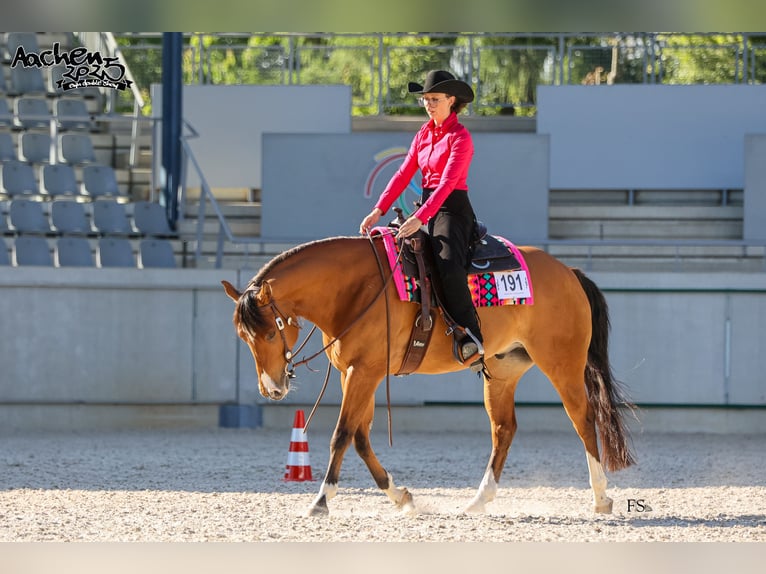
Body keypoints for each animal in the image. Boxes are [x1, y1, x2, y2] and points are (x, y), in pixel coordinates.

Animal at [222, 233, 635, 517]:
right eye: (242, 336)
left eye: (270, 333)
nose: (272, 388)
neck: (356, 289)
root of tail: (569, 272)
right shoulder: (355, 373)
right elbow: (360, 437)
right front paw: (400, 496)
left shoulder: (365, 372)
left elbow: (342, 435)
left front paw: (322, 500)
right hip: (503, 371)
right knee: (504, 430)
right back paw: (478, 500)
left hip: (562, 363)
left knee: (583, 419)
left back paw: (601, 497)